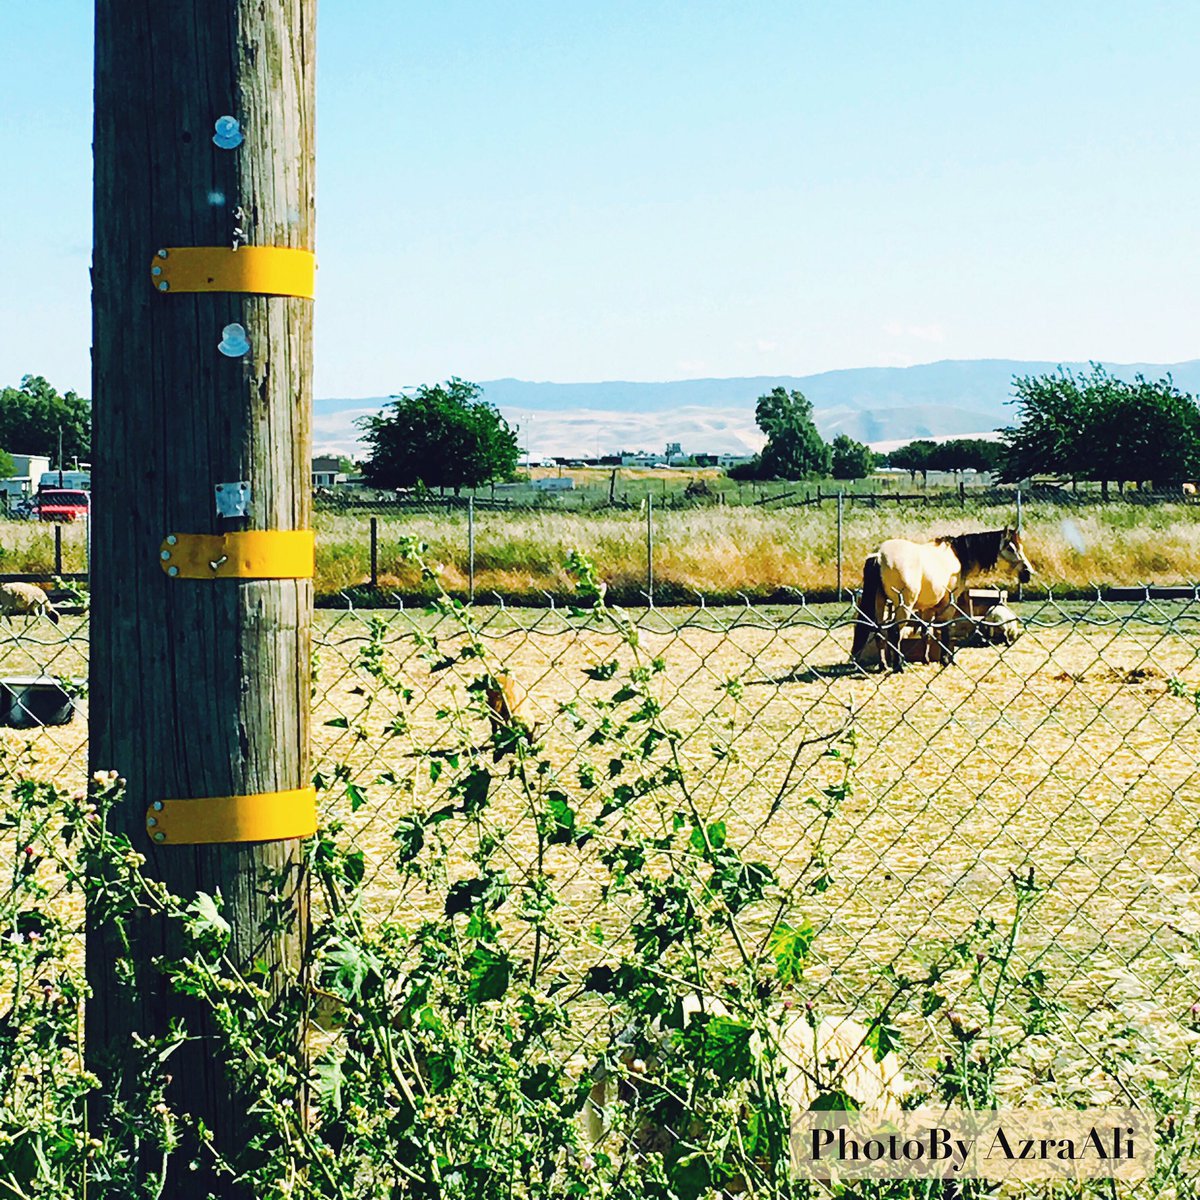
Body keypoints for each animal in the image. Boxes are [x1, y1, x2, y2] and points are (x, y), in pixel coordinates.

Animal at [850, 528, 1034, 672]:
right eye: (1010, 547)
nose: (1028, 572)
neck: (958, 557)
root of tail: (879, 555)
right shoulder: (948, 604)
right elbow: (946, 629)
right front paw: (946, 660)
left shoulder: (927, 608)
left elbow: (927, 632)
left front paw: (926, 660)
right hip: (904, 605)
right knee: (895, 632)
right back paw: (898, 666)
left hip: (879, 603)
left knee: (879, 631)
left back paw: (884, 665)